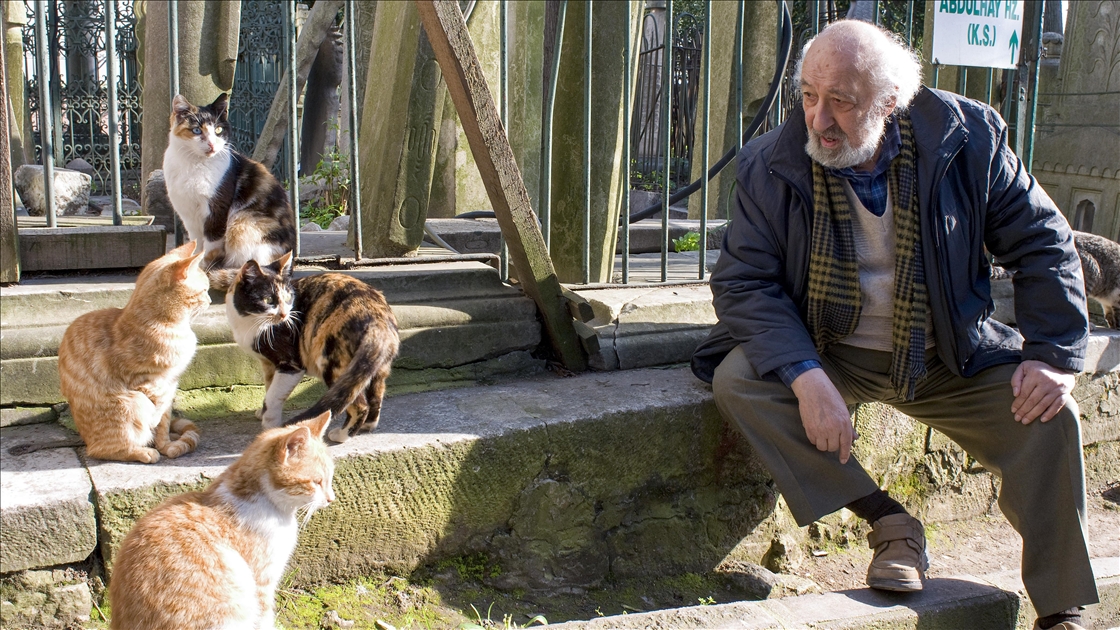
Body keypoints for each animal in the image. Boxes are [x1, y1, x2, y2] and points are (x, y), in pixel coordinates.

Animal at [57, 241, 208, 463]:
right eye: (204, 290)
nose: (210, 300)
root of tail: (86, 440)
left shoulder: (171, 383)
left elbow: (164, 421)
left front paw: (166, 445)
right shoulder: (144, 380)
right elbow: (157, 407)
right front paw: (154, 430)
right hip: (132, 403)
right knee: (104, 449)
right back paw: (143, 451)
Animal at [163, 93, 297, 290]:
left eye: (218, 130)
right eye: (196, 130)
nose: (212, 145)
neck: (194, 164)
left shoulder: (217, 210)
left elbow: (211, 245)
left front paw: (205, 268)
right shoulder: (188, 214)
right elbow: (196, 242)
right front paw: (193, 265)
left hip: (243, 222)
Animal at [225, 253, 400, 444]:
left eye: (288, 298)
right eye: (268, 300)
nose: (284, 315)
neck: (248, 322)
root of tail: (378, 318)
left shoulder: (290, 364)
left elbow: (273, 396)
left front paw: (270, 424)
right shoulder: (268, 364)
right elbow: (268, 387)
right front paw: (262, 412)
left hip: (332, 362)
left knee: (358, 403)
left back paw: (341, 435)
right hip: (374, 367)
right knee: (376, 393)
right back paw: (367, 426)